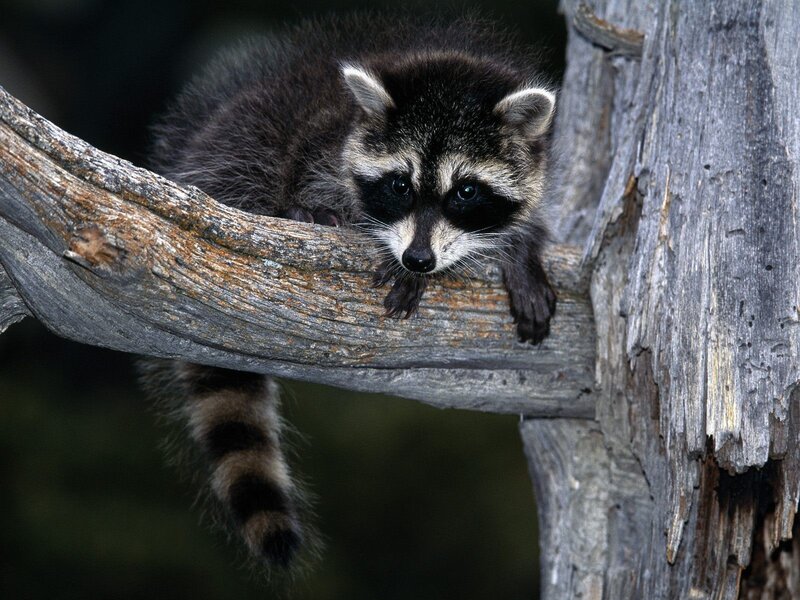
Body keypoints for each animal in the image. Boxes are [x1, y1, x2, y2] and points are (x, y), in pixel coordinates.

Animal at [143, 13, 557, 568]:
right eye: (400, 185)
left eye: (466, 191)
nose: (418, 259)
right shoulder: (321, 141)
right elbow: (314, 181)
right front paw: (382, 249)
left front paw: (521, 249)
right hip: (240, 144)